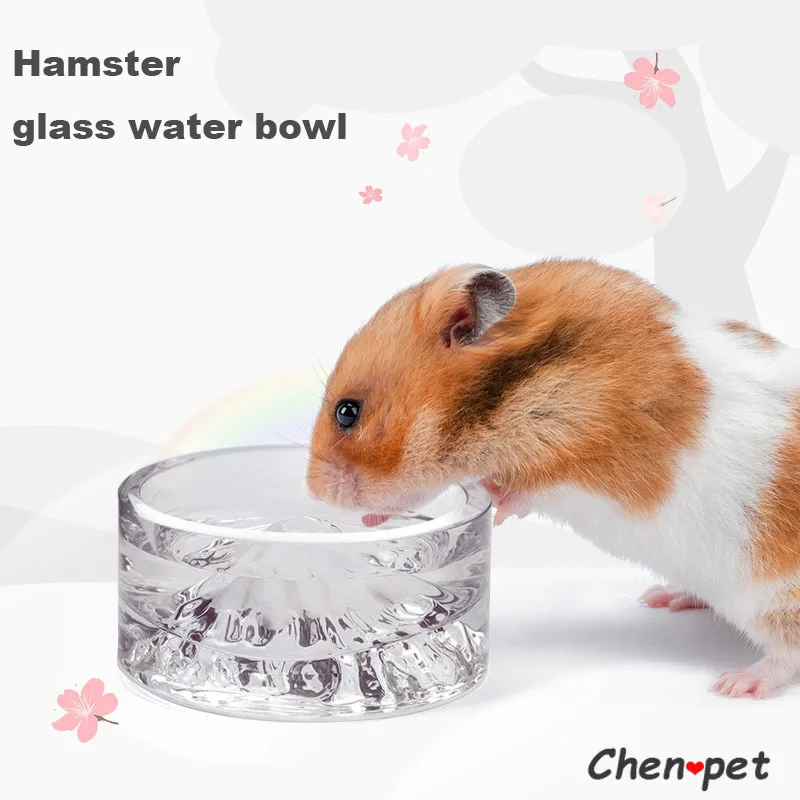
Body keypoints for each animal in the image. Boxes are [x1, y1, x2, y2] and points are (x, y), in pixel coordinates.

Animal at [306, 259, 800, 699]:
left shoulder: (582, 457)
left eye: (347, 412)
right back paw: (663, 597)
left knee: (786, 653)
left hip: (776, 594)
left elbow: (524, 491)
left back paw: (735, 685)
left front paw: (492, 503)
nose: (313, 492)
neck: (520, 384)